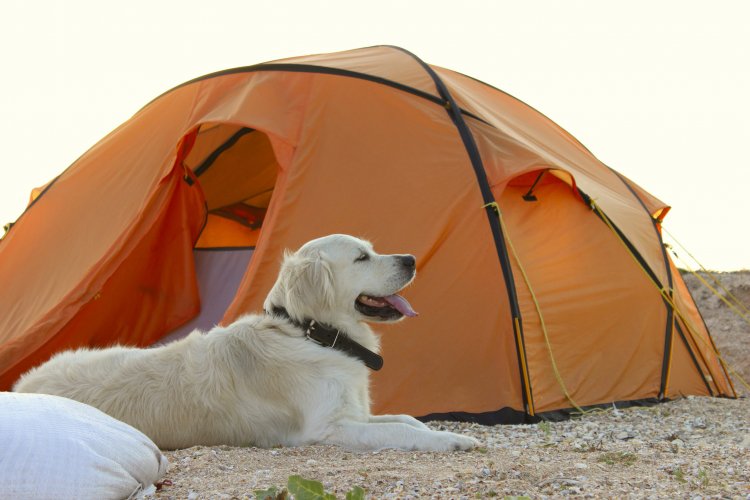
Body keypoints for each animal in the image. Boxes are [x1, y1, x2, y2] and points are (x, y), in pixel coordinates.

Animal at [14, 236, 478, 452]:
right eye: (362, 257)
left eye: (373, 250)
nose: (411, 260)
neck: (312, 334)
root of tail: (21, 387)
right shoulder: (327, 429)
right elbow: (399, 429)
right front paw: (451, 441)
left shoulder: (355, 412)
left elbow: (407, 418)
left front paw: (446, 432)